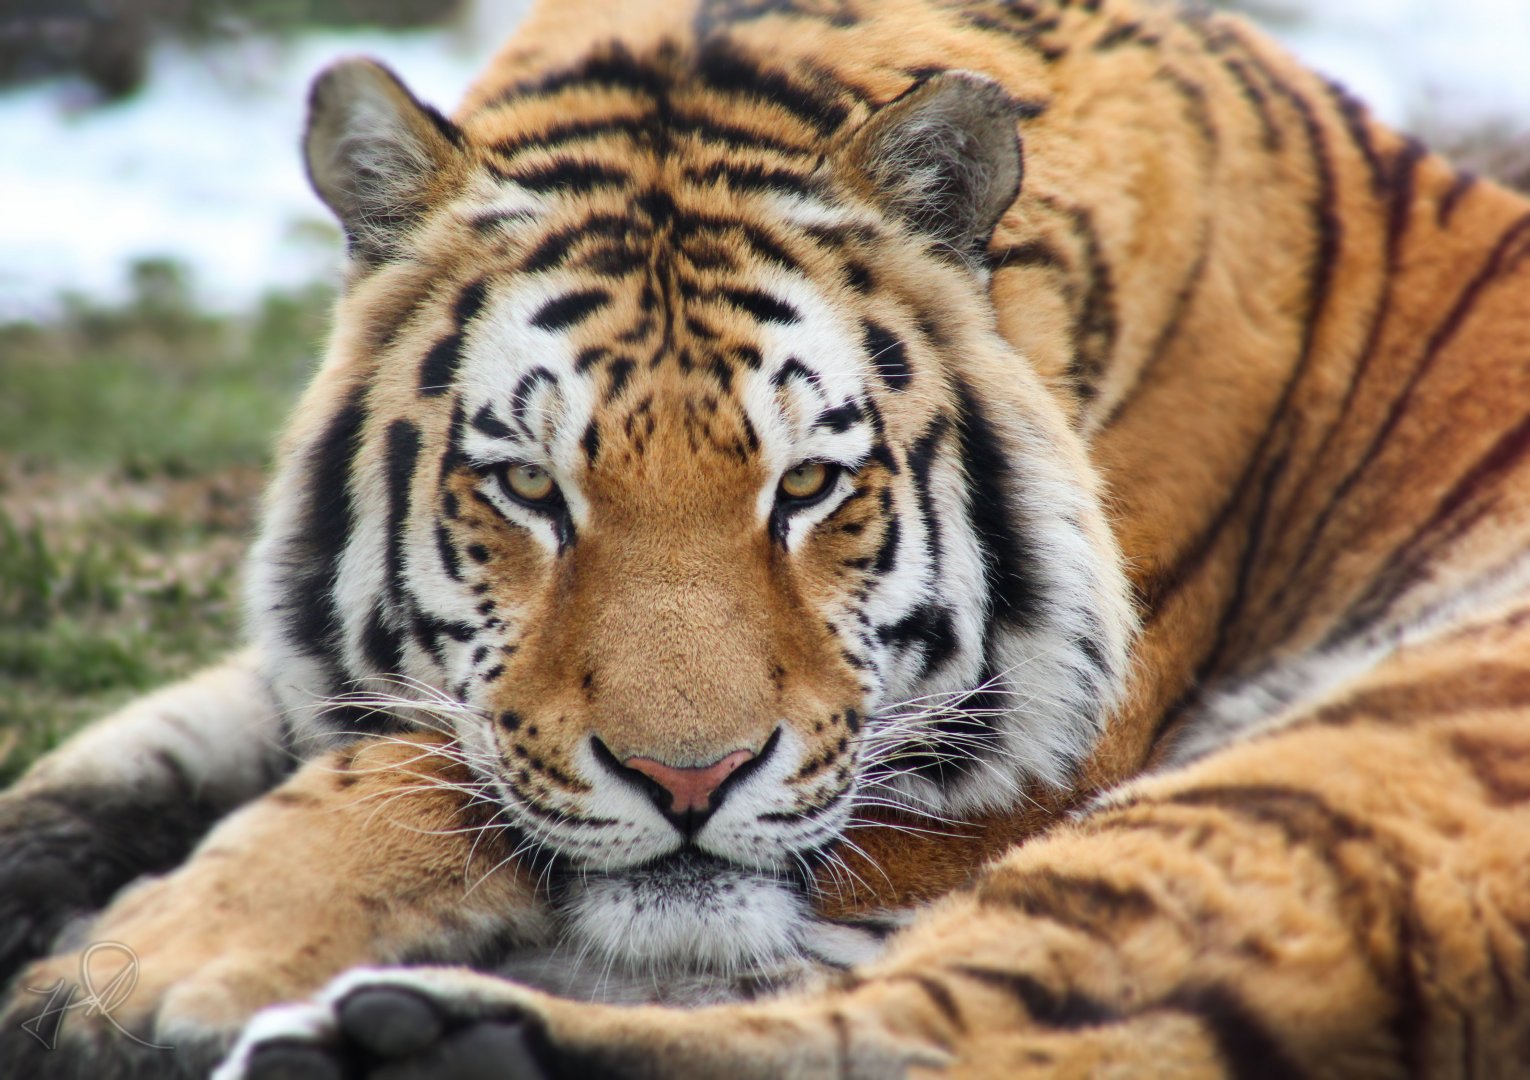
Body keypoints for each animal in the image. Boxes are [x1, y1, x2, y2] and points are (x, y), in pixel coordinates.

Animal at [4, 0, 1530, 1076]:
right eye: (533, 489)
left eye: (806, 487)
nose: (695, 782)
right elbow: (141, 754)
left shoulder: (993, 774)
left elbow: (414, 773)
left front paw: (130, 978)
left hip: (1344, 765)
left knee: (959, 1035)